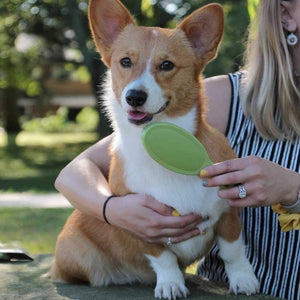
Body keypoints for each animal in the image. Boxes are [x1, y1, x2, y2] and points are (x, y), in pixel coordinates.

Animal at [50, 1, 258, 298]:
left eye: (167, 65)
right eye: (125, 61)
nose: (134, 97)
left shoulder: (229, 212)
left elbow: (233, 251)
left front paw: (243, 279)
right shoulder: (142, 224)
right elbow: (163, 258)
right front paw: (171, 284)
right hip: (75, 253)